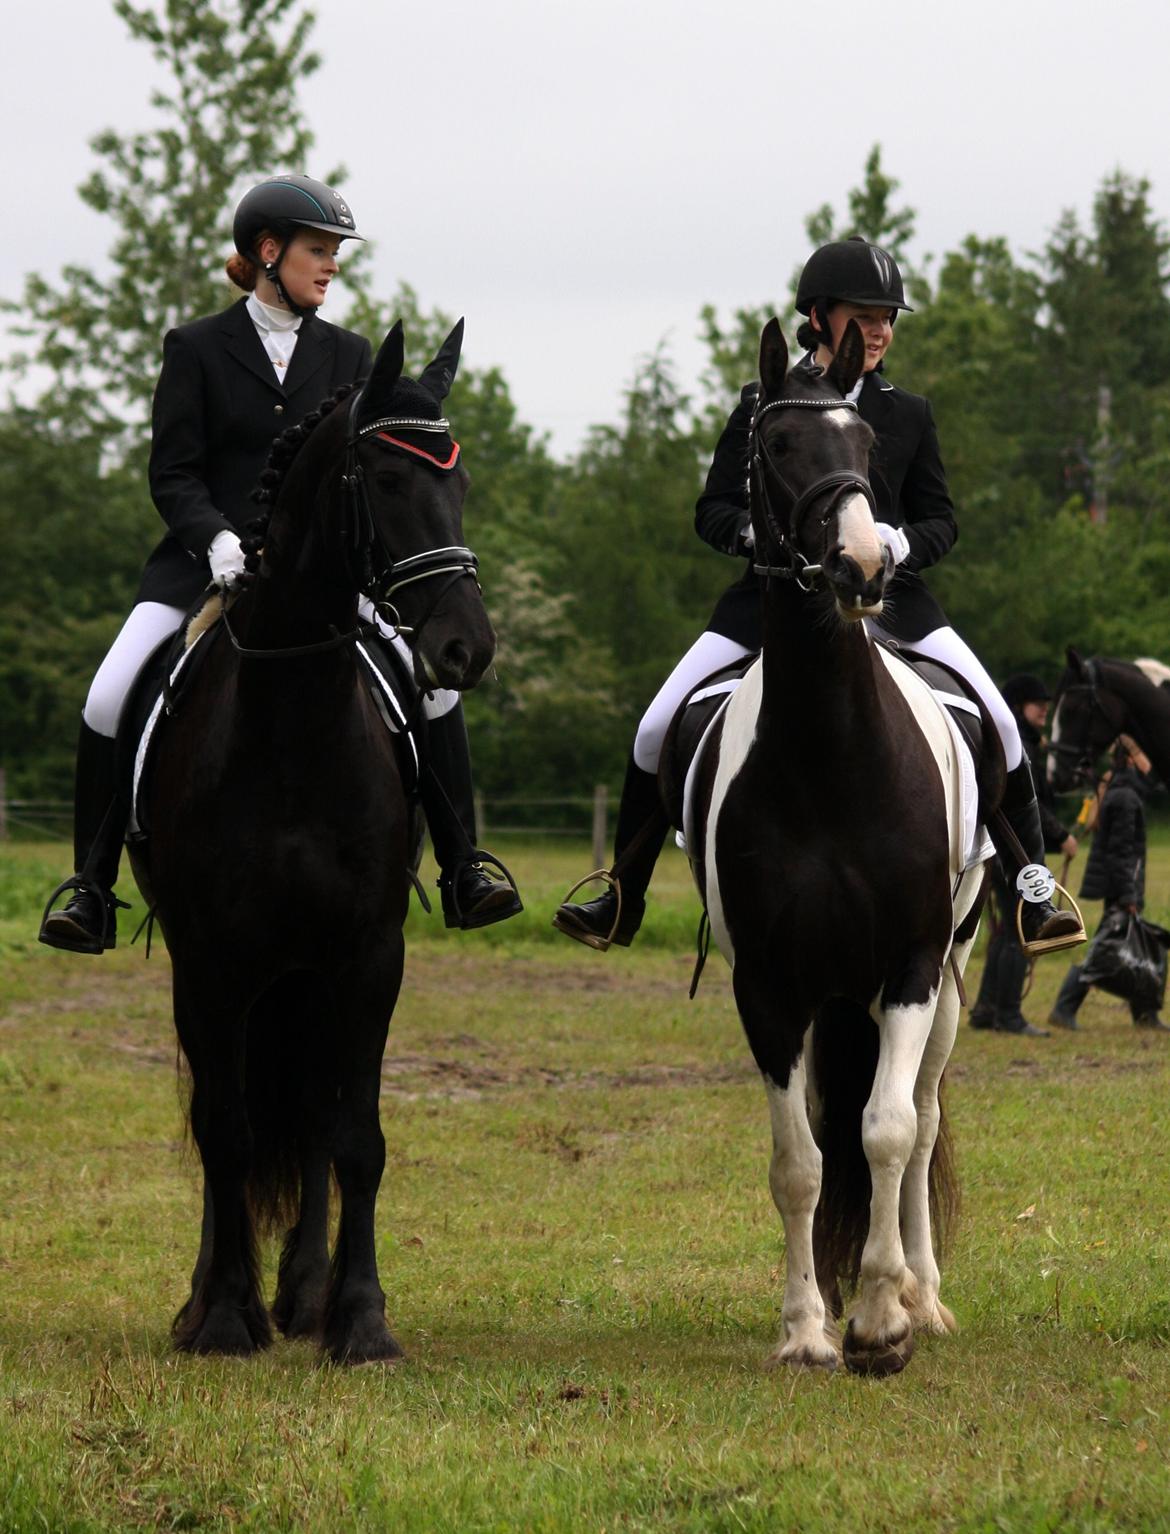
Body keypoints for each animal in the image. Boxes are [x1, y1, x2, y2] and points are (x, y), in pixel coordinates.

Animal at [130, 317, 496, 1362]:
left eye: (461, 480)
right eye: (385, 480)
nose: (466, 650)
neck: (292, 725)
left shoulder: (368, 956)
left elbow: (352, 1138)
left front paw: (360, 1319)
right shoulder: (211, 961)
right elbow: (225, 1133)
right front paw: (221, 1317)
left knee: (311, 1118)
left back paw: (300, 1295)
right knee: (228, 1118)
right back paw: (220, 1300)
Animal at [680, 320, 993, 1380]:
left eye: (865, 445)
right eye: (777, 445)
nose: (863, 565)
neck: (831, 754)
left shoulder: (909, 966)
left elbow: (889, 1133)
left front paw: (883, 1321)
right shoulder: (770, 988)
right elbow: (800, 1161)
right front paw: (807, 1328)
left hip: (950, 976)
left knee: (923, 1116)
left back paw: (927, 1299)